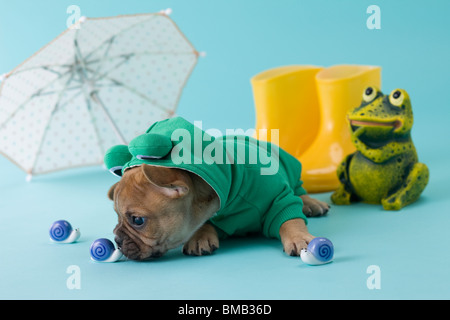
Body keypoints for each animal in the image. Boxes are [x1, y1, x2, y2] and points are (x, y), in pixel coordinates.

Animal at [107, 164, 328, 262]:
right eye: (116, 216)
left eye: (137, 220)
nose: (117, 239)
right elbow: (203, 224)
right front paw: (200, 237)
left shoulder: (278, 196)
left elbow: (289, 219)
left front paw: (299, 237)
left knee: (299, 191)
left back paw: (312, 203)